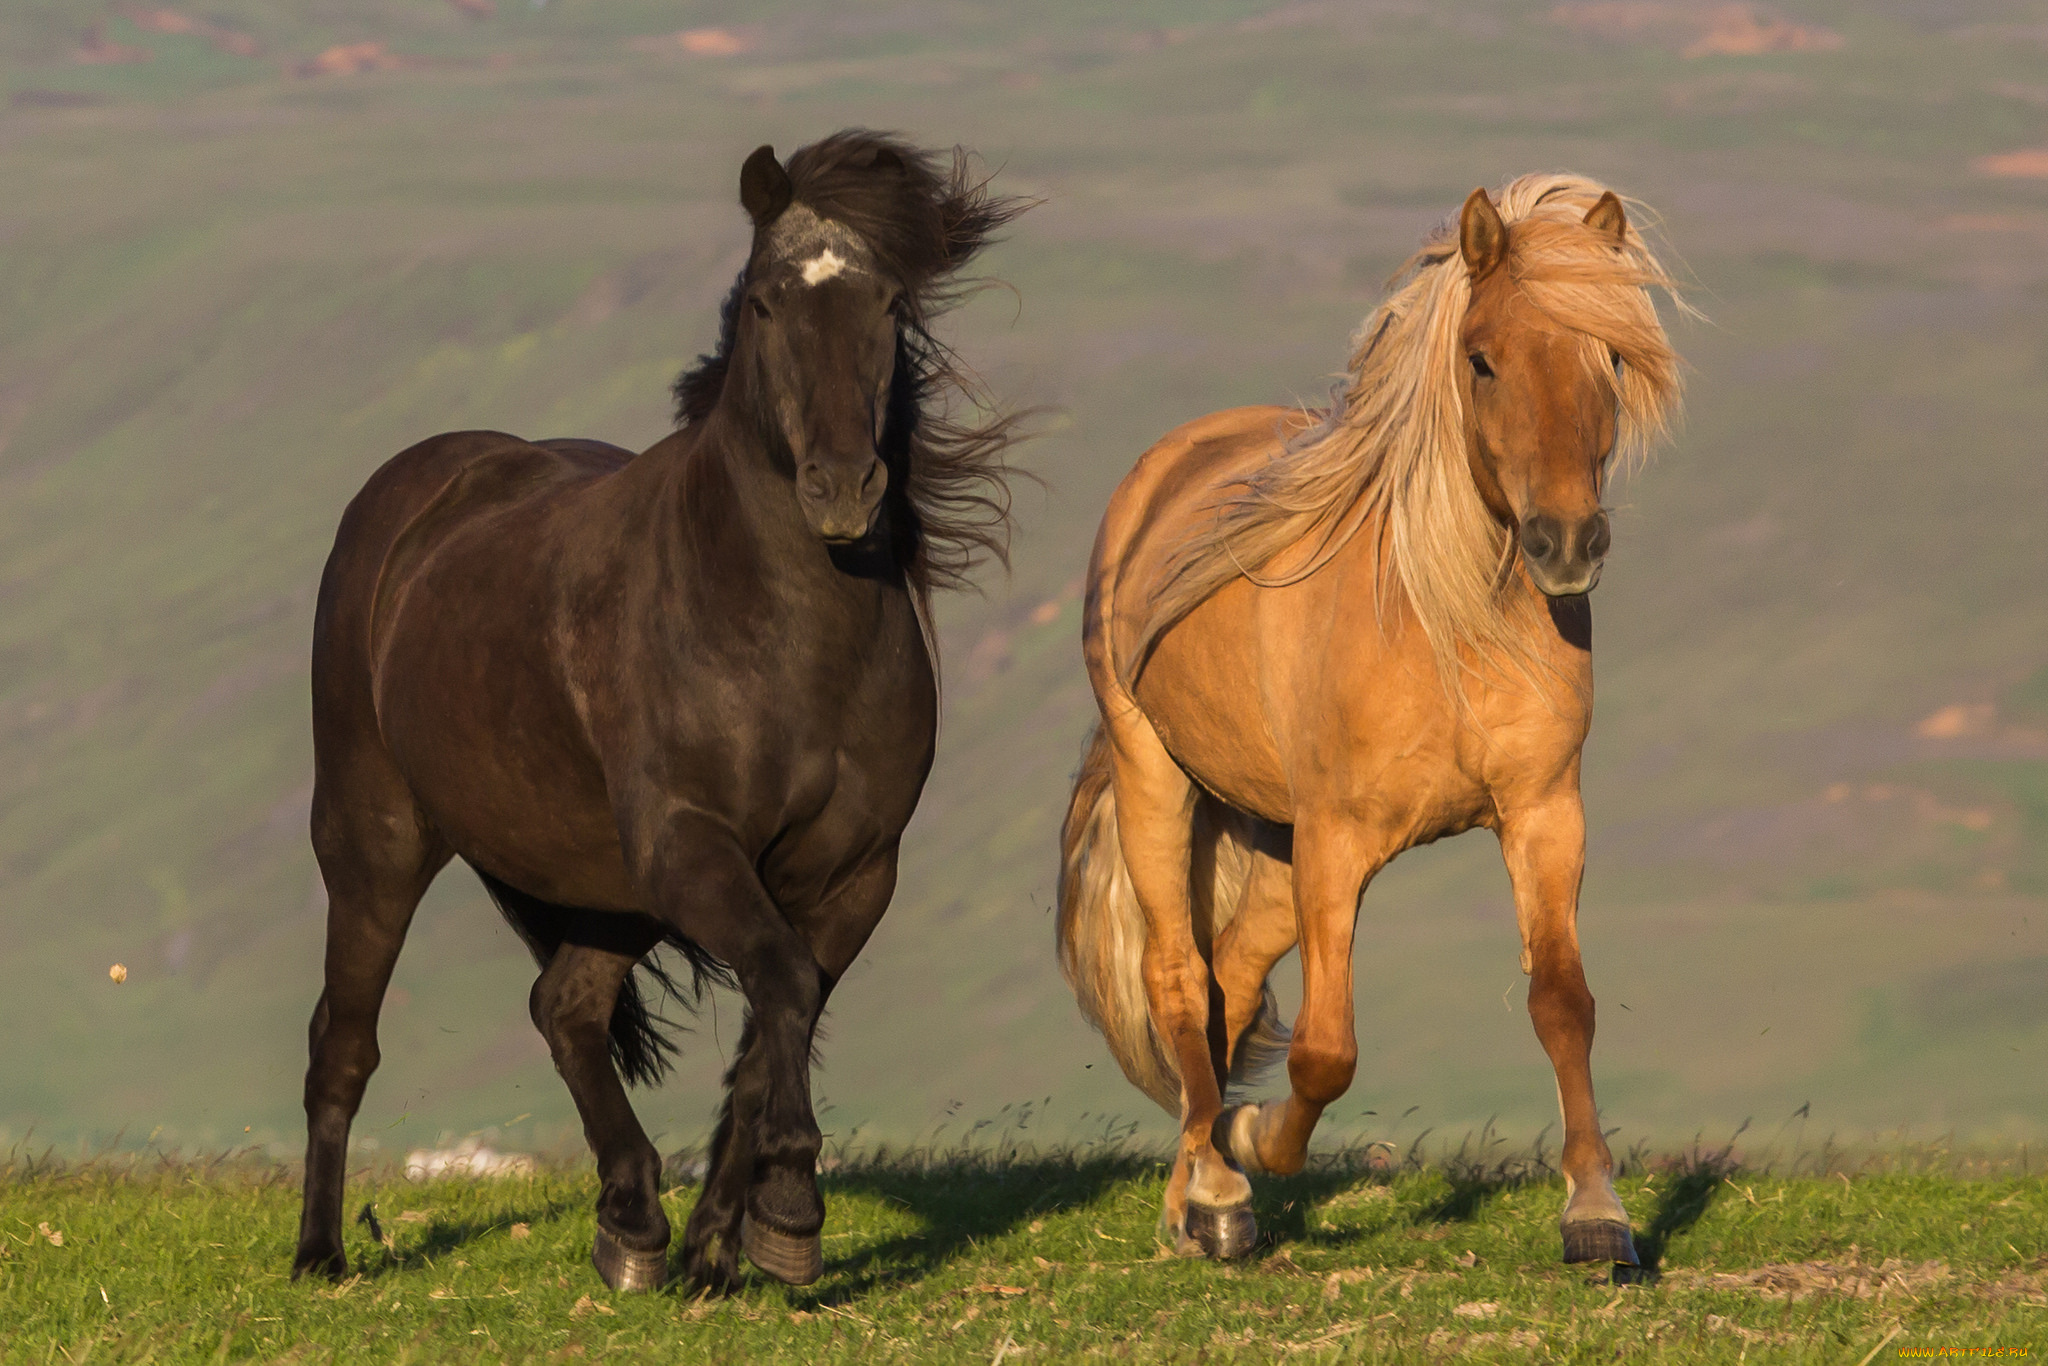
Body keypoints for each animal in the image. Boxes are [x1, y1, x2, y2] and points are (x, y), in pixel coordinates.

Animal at [296, 133, 1032, 1302]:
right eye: (769, 301)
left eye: (887, 302)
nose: (841, 488)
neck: (779, 637)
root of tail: (414, 491)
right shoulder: (694, 845)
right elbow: (779, 992)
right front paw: (789, 1209)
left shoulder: (851, 874)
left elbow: (775, 1027)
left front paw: (723, 1250)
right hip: (377, 840)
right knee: (346, 1037)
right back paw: (321, 1254)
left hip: (606, 882)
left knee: (565, 1005)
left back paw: (634, 1223)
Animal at [1056, 176, 1679, 1269]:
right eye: (1481, 358)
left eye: (1607, 357)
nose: (1566, 544)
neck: (1446, 623)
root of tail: (1162, 468)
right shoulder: (1338, 842)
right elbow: (1324, 1050)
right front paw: (1257, 1141)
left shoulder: (1542, 813)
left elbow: (1561, 1004)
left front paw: (1596, 1213)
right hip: (1158, 778)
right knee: (1177, 975)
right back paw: (1216, 1188)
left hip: (1270, 842)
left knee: (1225, 980)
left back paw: (1193, 1190)